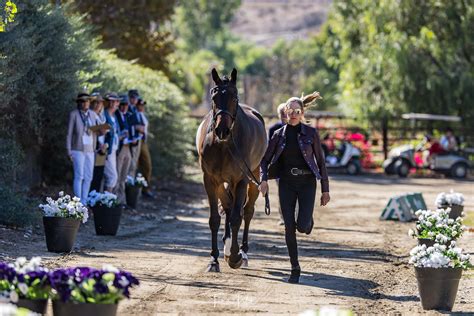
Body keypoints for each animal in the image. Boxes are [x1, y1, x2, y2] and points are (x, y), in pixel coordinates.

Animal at [195, 68, 266, 270]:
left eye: (234, 97)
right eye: (214, 97)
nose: (222, 130)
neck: (223, 145)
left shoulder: (241, 180)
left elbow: (236, 218)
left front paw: (235, 257)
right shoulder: (210, 180)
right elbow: (214, 219)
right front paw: (214, 259)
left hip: (254, 177)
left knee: (247, 212)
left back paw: (243, 252)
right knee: (228, 206)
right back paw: (226, 249)